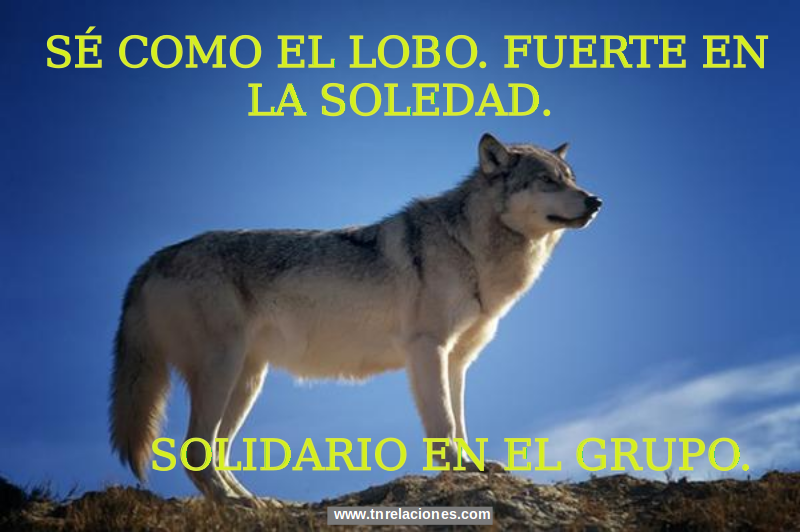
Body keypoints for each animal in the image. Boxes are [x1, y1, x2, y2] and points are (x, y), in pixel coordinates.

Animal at [109, 133, 602, 505]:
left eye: (571, 179)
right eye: (547, 181)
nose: (595, 201)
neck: (470, 248)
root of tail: (153, 259)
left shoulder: (458, 361)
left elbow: (460, 424)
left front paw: (473, 469)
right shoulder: (428, 349)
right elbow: (443, 425)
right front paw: (458, 472)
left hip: (248, 382)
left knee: (216, 450)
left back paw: (253, 501)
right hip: (223, 371)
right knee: (194, 449)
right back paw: (233, 504)